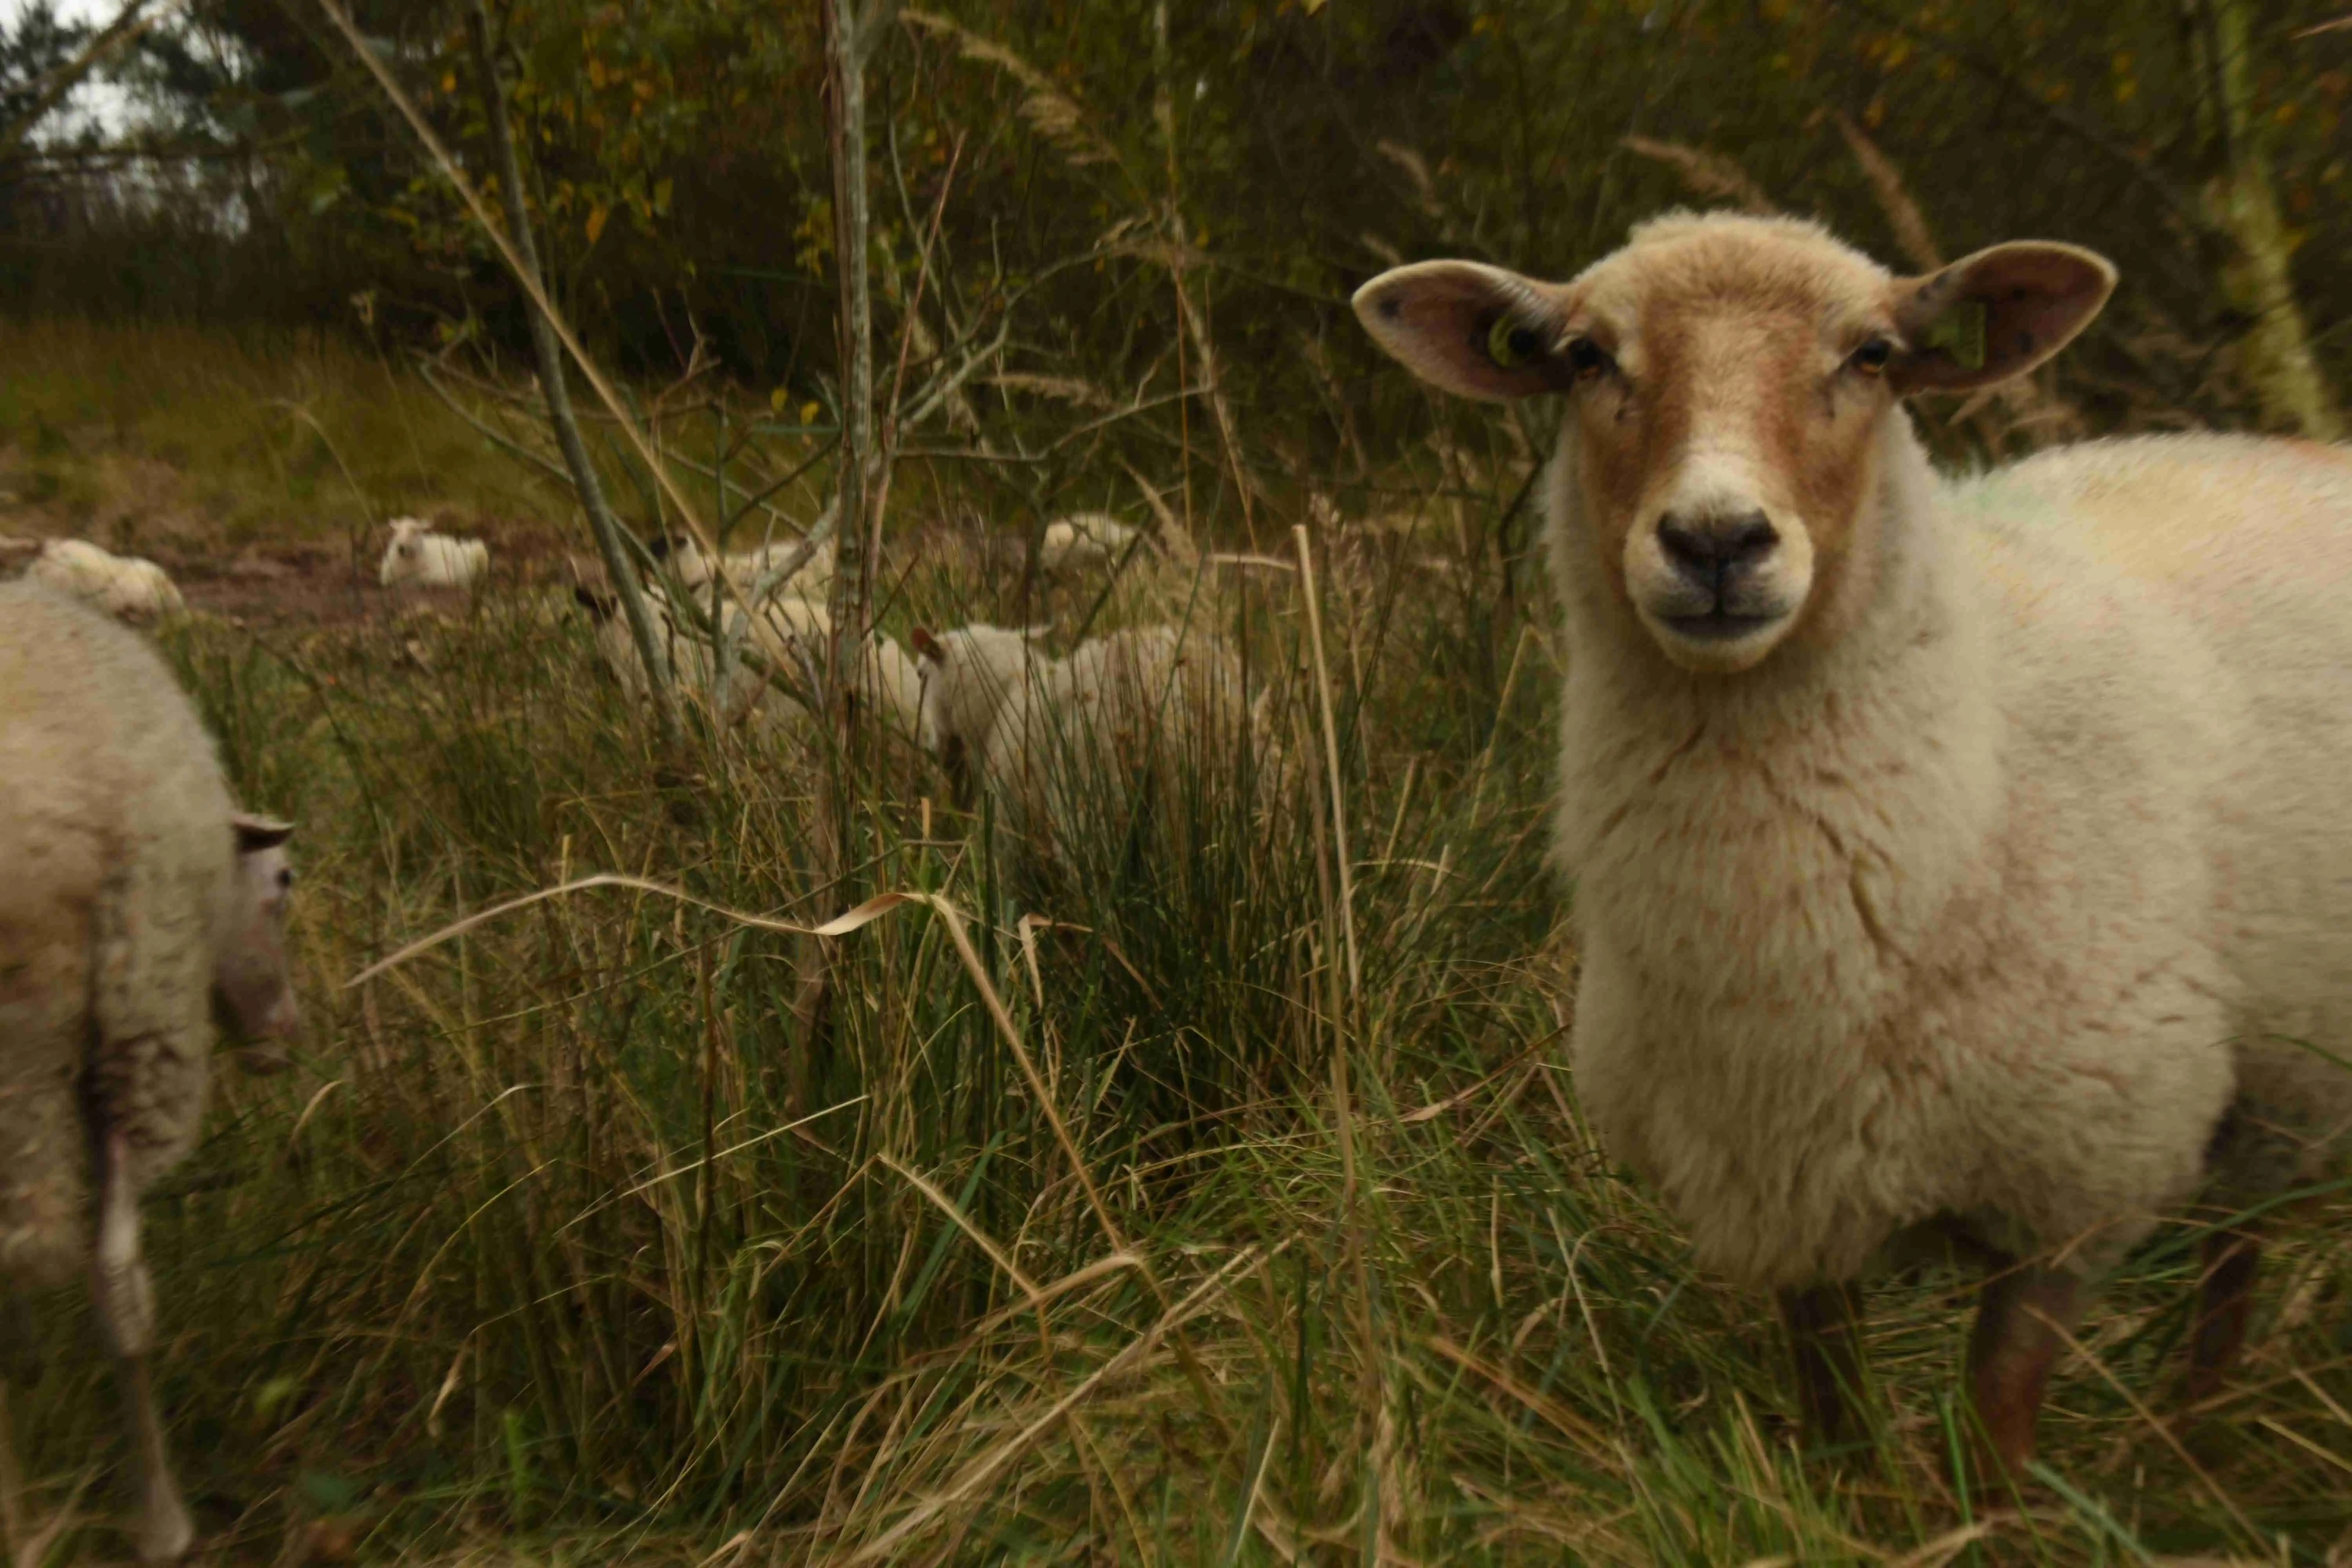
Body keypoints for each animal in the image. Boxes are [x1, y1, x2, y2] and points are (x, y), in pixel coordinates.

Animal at [377, 516, 489, 590]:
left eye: (416, 531)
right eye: (396, 532)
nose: (401, 548)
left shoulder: (443, 575)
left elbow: (418, 579)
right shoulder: (386, 578)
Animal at [1354, 210, 2352, 1484]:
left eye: (1872, 355)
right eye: (1583, 358)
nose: (1716, 540)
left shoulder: (2073, 1184)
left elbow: (1995, 1426)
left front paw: (1989, 1511)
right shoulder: (1783, 1189)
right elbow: (1836, 1425)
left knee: (2233, 1258)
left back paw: (2193, 1448)